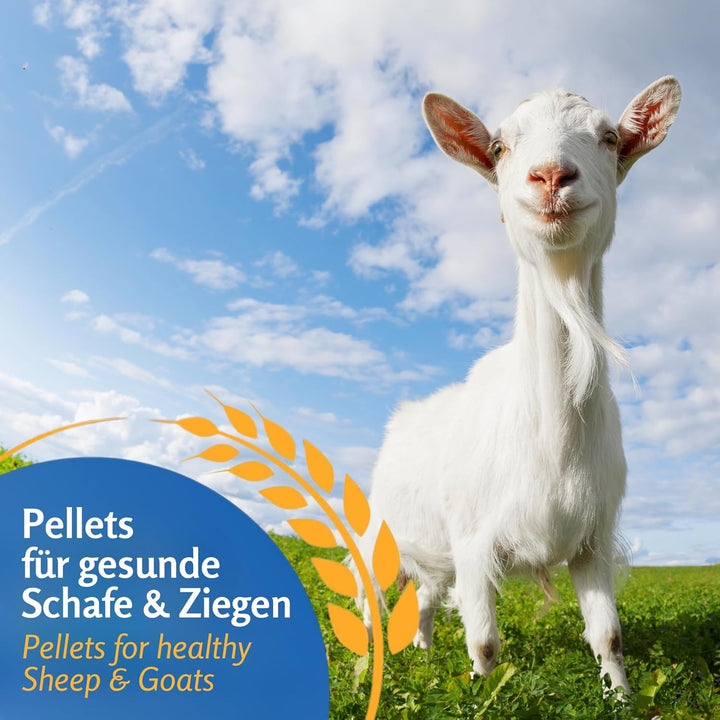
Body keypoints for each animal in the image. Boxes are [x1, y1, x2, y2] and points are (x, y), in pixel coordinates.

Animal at [363, 77, 681, 692]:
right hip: (380, 535)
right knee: (371, 595)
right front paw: (480, 695)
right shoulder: (471, 541)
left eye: (609, 137)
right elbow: (485, 641)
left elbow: (609, 634)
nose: (552, 176)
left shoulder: (592, 540)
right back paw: (367, 659)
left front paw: (623, 697)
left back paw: (421, 651)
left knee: (426, 598)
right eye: (500, 146)